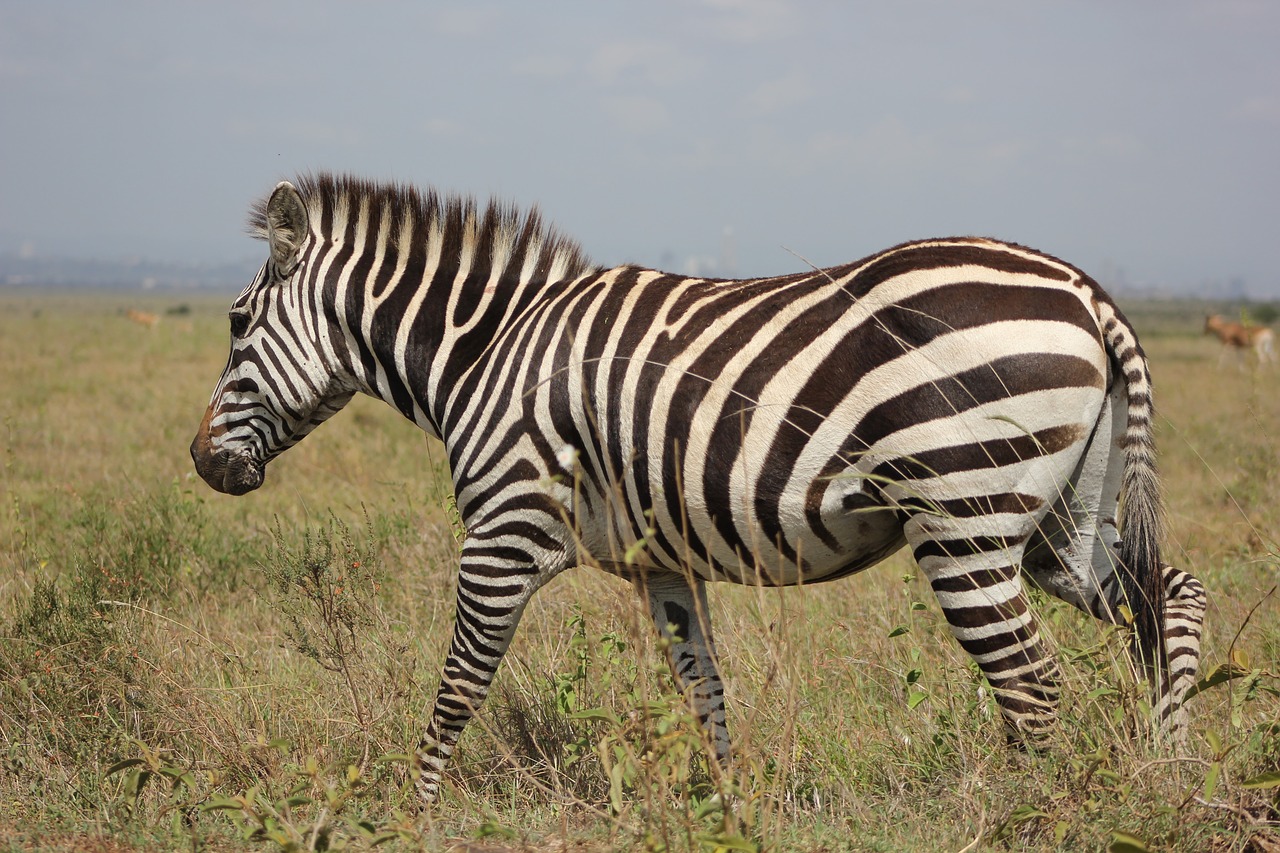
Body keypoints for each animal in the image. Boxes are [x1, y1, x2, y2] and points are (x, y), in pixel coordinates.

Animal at [186, 174, 1198, 804]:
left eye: (235, 324)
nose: (200, 463)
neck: (488, 350)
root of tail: (1084, 291)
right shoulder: (661, 562)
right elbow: (703, 687)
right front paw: (729, 805)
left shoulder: (504, 529)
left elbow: (461, 679)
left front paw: (413, 805)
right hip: (1062, 519)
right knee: (1170, 600)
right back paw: (1170, 766)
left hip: (965, 520)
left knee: (1033, 683)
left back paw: (1030, 808)